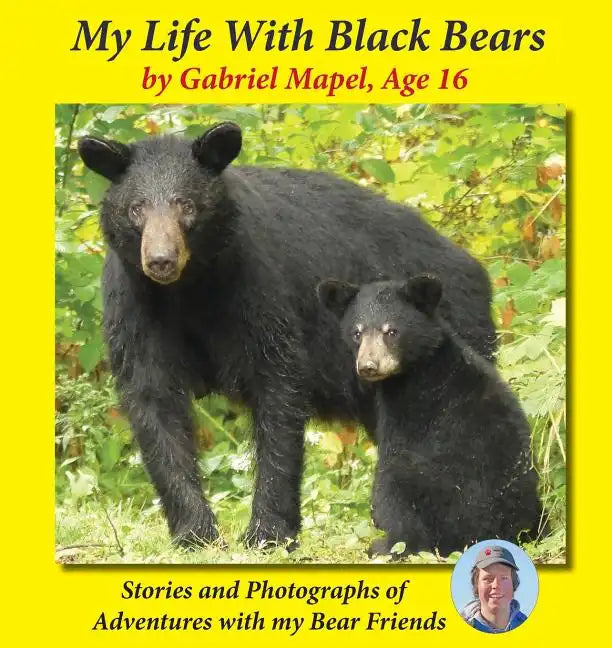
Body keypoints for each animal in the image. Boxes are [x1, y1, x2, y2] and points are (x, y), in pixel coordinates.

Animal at [77, 121, 497, 550]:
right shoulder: (136, 303)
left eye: (187, 205)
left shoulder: (255, 286)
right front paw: (195, 532)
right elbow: (153, 398)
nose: (161, 260)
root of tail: (472, 268)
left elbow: (277, 386)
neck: (189, 288)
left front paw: (268, 531)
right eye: (137, 208)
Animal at [318, 274, 542, 557]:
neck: (420, 367)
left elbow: (389, 466)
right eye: (356, 333)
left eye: (391, 331)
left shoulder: (409, 412)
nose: (368, 366)